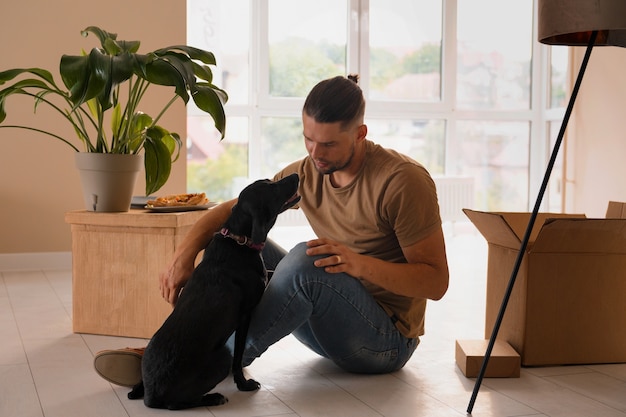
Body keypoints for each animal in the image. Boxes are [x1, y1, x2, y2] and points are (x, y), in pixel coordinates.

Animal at [128, 173, 298, 410]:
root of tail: (151, 397)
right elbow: (238, 357)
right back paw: (213, 397)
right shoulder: (245, 315)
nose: (297, 175)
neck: (239, 240)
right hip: (221, 357)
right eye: (271, 188)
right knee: (178, 403)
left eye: (269, 180)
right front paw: (243, 384)